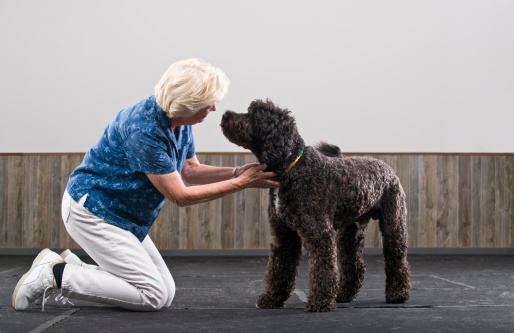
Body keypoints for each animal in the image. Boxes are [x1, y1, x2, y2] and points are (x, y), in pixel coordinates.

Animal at [219, 98, 408, 312]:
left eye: (255, 115)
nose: (225, 115)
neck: (293, 168)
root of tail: (387, 168)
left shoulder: (318, 232)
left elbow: (322, 269)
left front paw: (320, 301)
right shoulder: (283, 234)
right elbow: (279, 269)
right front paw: (272, 299)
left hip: (393, 224)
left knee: (397, 258)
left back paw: (397, 294)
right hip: (350, 233)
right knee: (354, 265)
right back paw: (344, 294)